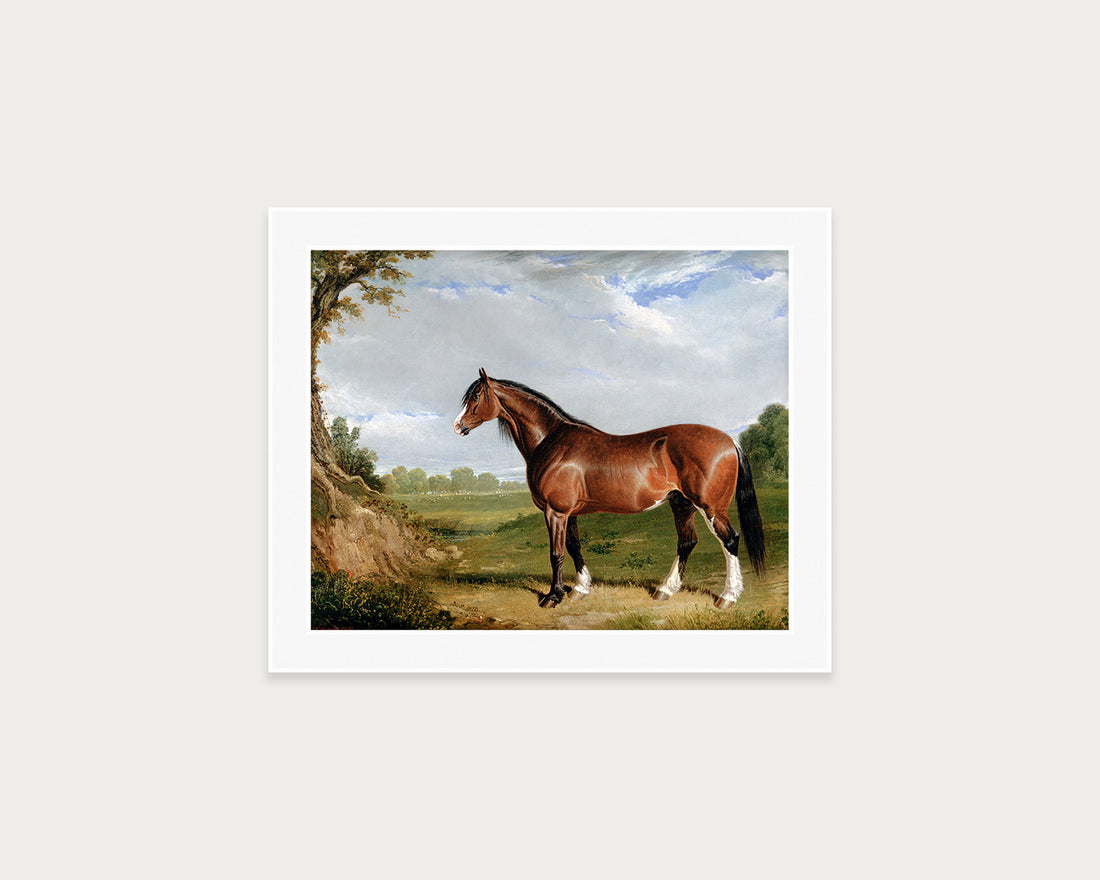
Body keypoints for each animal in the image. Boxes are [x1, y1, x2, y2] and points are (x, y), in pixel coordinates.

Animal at [453, 368, 766, 609]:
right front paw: (580, 589)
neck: (552, 442)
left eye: (476, 397)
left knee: (730, 540)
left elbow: (556, 553)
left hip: (710, 506)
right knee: (687, 542)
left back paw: (727, 597)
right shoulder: (569, 513)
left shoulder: (556, 512)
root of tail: (729, 440)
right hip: (682, 504)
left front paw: (553, 597)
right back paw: (664, 590)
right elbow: (574, 547)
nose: (457, 426)